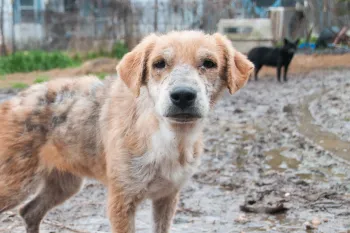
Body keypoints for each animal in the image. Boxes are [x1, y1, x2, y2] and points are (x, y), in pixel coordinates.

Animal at [0, 31, 253, 233]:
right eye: (159, 63)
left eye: (209, 63)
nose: (183, 95)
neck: (166, 138)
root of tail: (11, 101)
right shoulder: (121, 201)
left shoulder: (167, 197)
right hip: (16, 185)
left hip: (65, 184)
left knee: (29, 212)